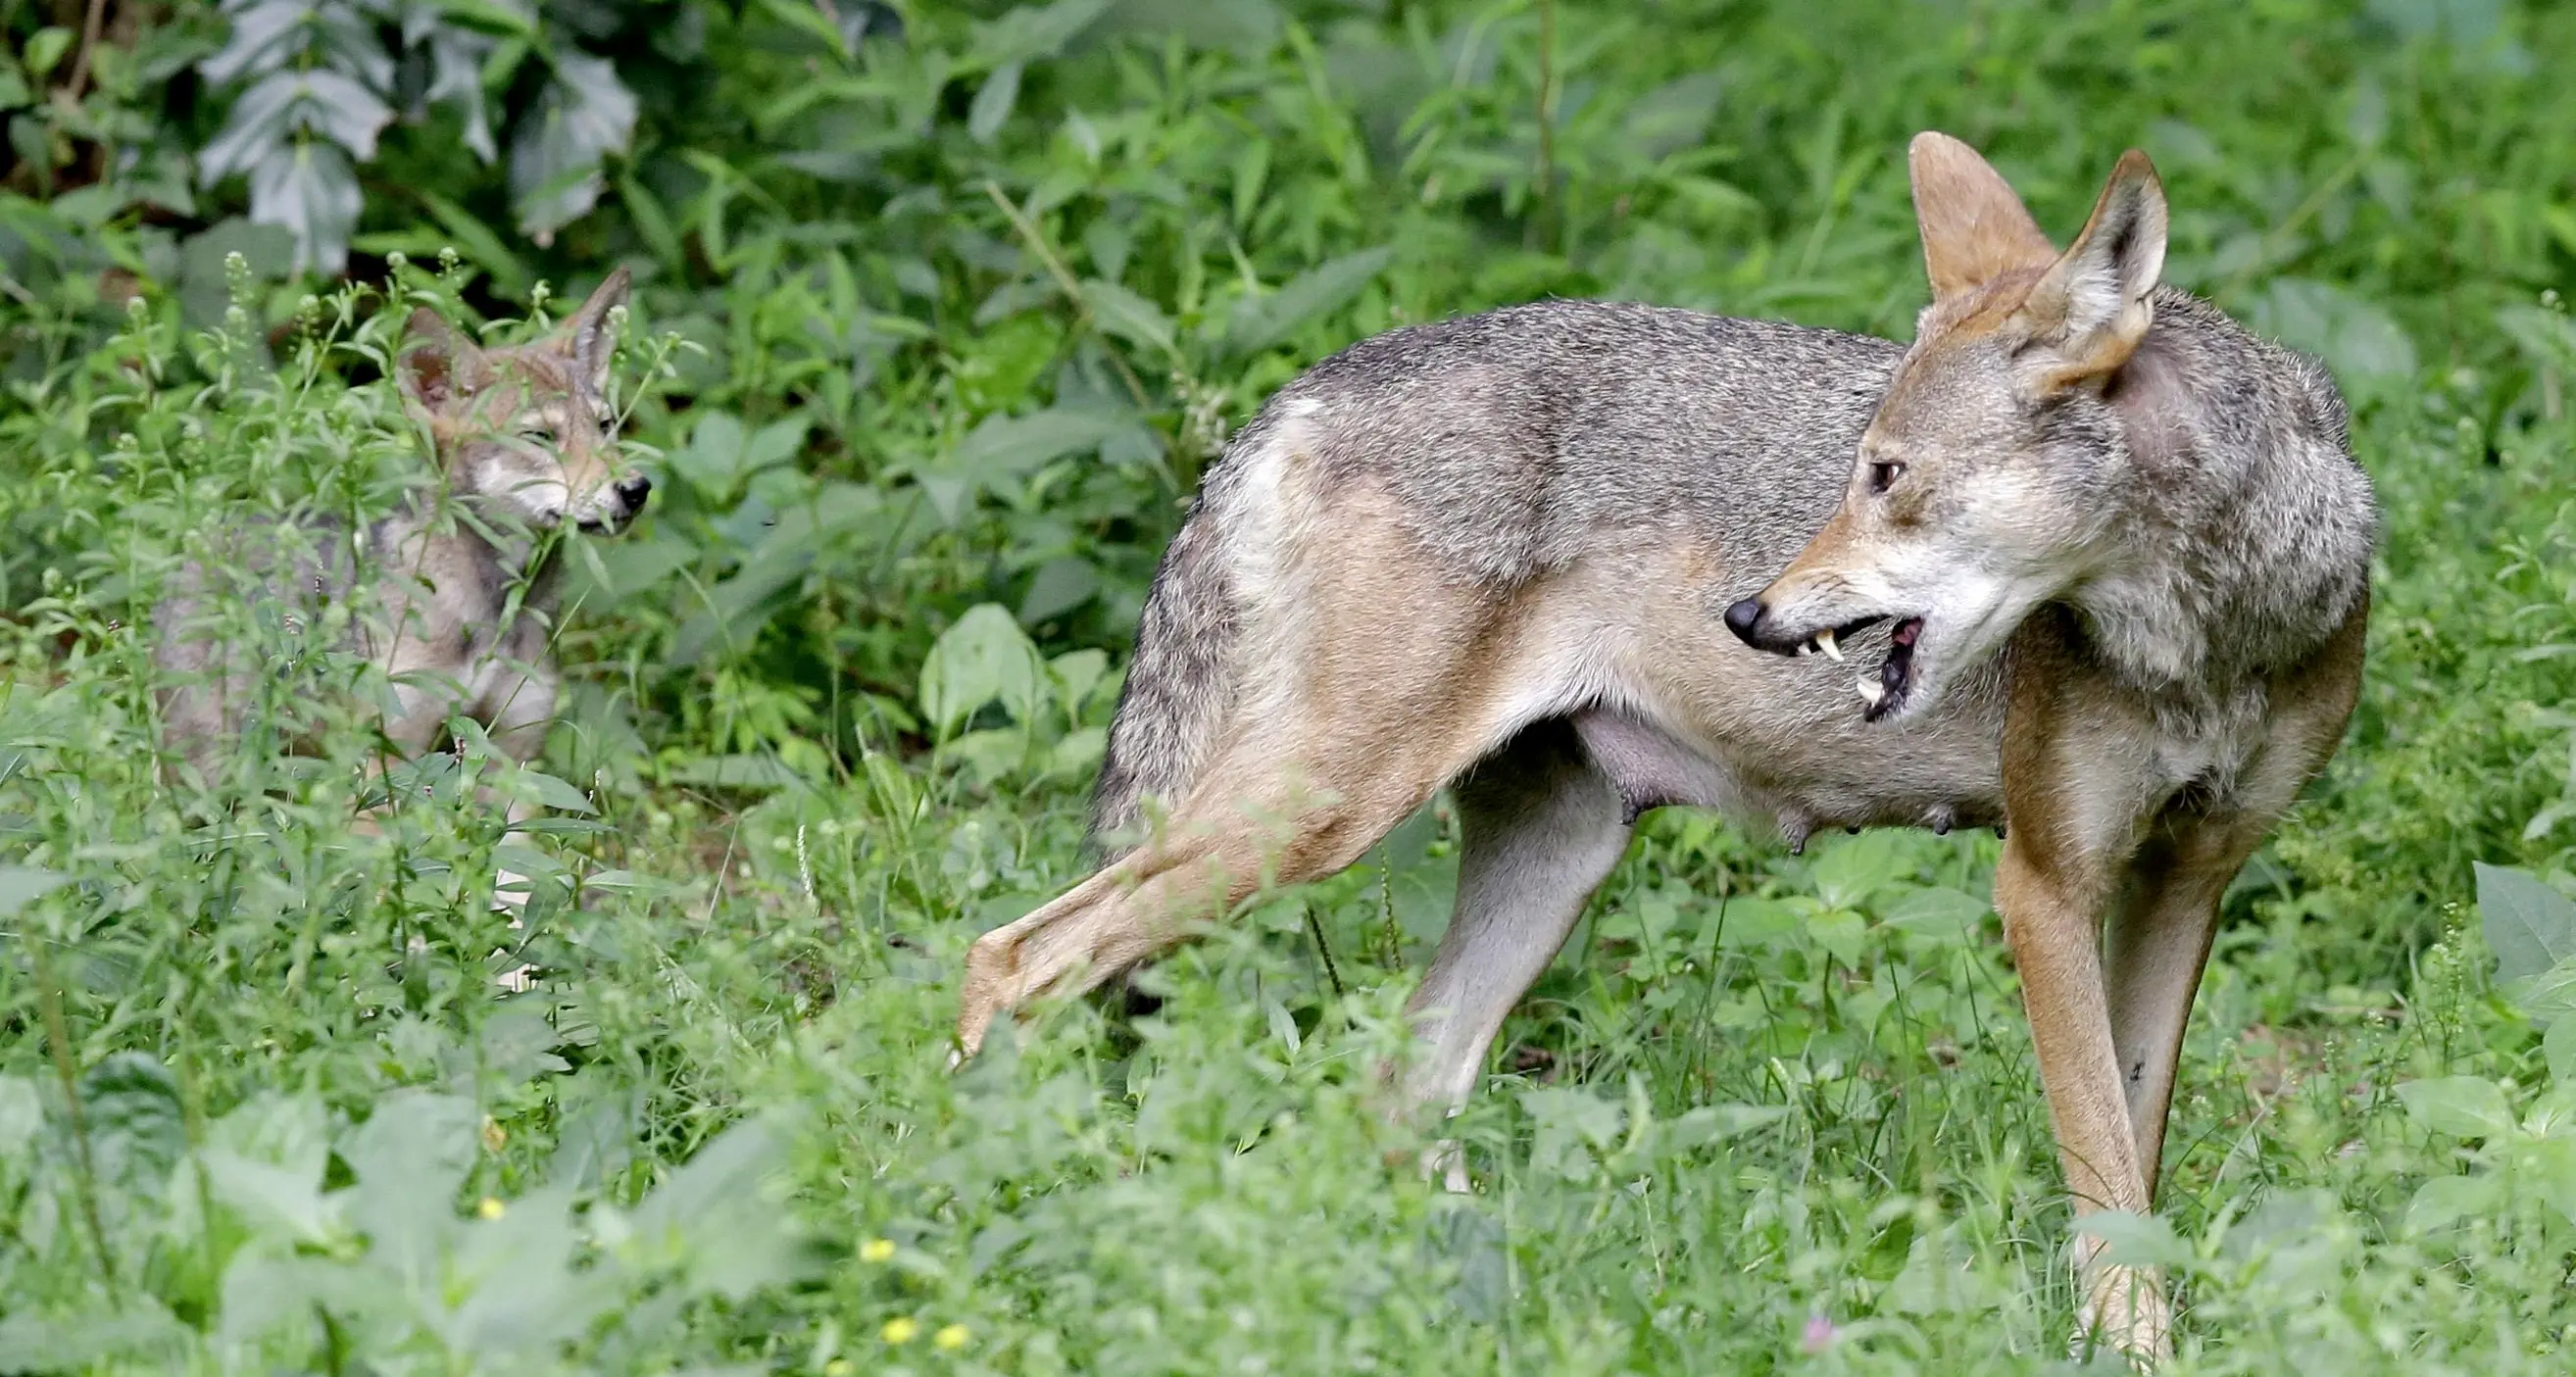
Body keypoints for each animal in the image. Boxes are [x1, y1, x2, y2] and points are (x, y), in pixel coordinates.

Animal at [156, 268, 650, 900]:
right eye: (540, 437)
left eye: (607, 426)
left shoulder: (510, 766)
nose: (636, 488)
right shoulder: (383, 767)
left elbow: (509, 890)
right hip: (212, 778)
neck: (491, 610)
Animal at [955, 135, 2374, 1357]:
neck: (2219, 632)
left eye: (1887, 477)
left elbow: (2135, 1152)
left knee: (1400, 1086)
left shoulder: (2186, 878)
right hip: (1309, 824)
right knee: (1011, 958)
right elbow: (2103, 1172)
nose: (1749, 613)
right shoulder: (2042, 884)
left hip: (1549, 862)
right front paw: (2134, 1352)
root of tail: (1302, 390)